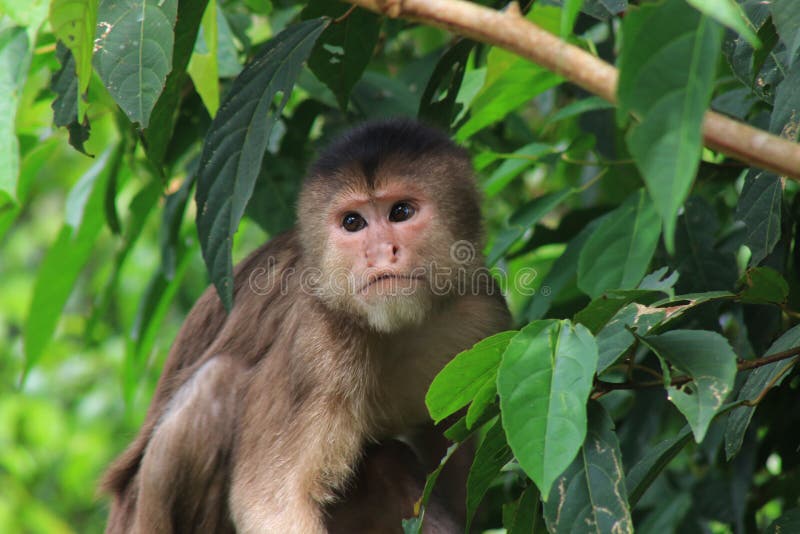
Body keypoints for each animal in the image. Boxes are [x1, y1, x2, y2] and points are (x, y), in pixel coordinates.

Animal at [101, 120, 512, 534]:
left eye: (401, 212)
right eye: (353, 222)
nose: (380, 253)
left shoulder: (483, 313)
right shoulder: (318, 343)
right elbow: (270, 502)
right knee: (216, 383)